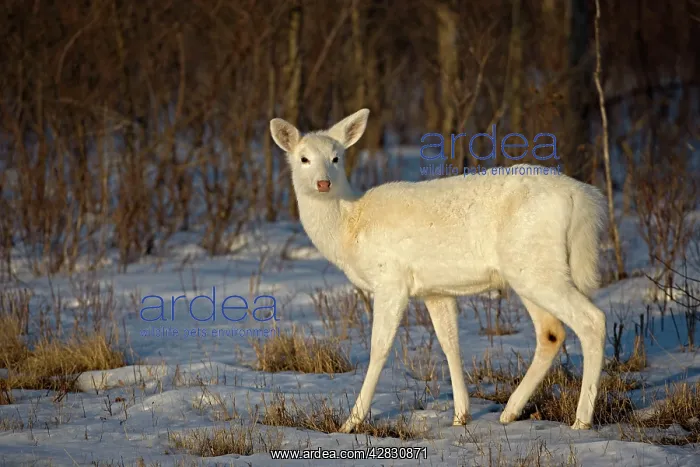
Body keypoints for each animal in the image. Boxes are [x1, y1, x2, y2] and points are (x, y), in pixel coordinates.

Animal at [269, 108, 608, 433]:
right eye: (304, 158)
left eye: (336, 157)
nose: (323, 183)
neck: (349, 228)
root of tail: (582, 199)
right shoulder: (435, 291)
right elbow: (450, 344)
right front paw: (461, 416)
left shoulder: (391, 279)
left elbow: (379, 348)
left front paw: (351, 422)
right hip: (528, 270)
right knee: (551, 332)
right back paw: (510, 412)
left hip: (538, 267)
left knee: (592, 320)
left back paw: (581, 420)